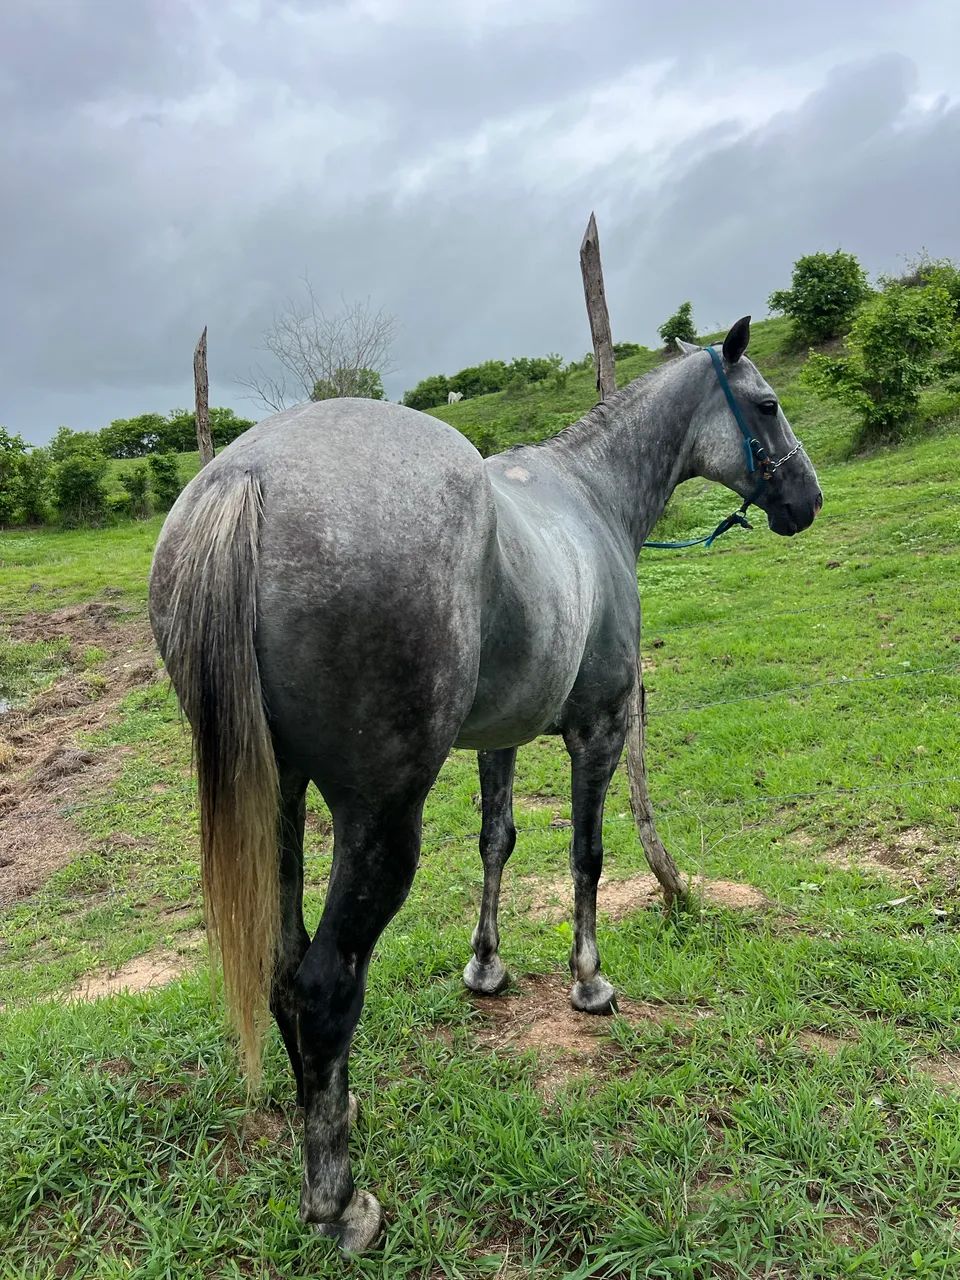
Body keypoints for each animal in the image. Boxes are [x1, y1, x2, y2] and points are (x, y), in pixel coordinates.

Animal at [148, 317, 822, 1252]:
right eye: (765, 403)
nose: (807, 499)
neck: (590, 497)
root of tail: (243, 478)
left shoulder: (497, 741)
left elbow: (497, 842)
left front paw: (487, 966)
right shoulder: (599, 731)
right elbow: (587, 855)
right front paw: (588, 983)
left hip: (278, 804)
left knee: (285, 973)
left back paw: (334, 1113)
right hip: (379, 823)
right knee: (323, 989)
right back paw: (338, 1202)